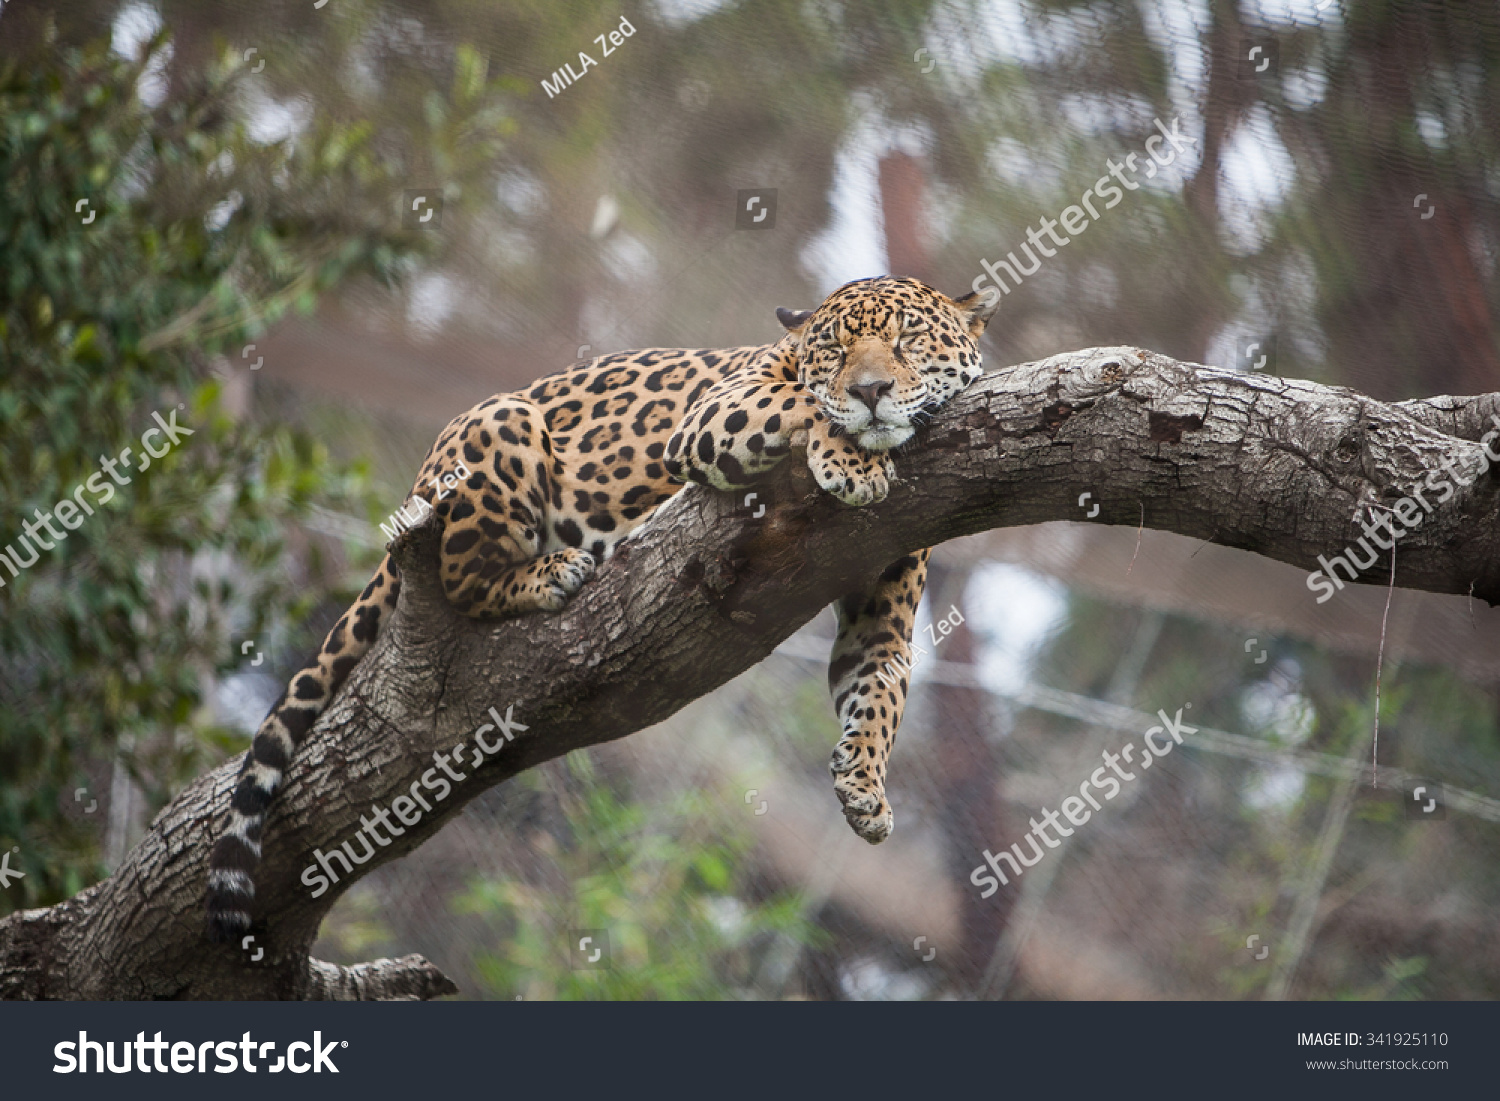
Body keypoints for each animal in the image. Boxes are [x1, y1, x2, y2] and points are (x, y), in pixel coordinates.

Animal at [202, 274, 996, 942]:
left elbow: (880, 694)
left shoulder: (879, 622)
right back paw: (552, 571)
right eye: (834, 348)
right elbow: (802, 401)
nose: (871, 389)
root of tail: (415, 489)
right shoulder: (715, 413)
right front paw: (850, 454)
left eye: (907, 337)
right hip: (502, 422)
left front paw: (864, 787)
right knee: (462, 577)